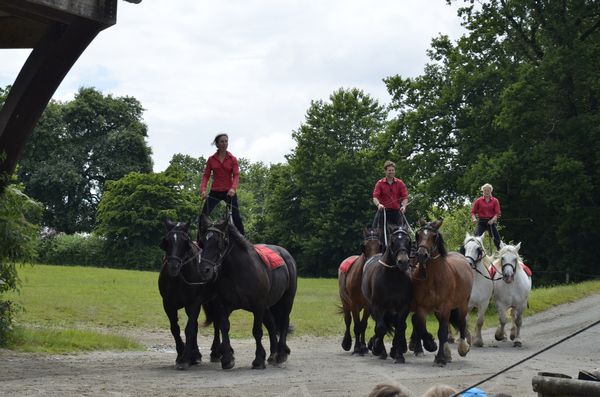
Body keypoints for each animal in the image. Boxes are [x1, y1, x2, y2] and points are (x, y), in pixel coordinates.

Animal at [159, 220, 220, 368]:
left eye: (184, 242)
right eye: (167, 241)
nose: (173, 266)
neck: (178, 279)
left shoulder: (194, 303)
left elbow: (189, 328)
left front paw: (185, 358)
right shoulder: (168, 304)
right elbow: (175, 329)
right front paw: (182, 355)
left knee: (217, 323)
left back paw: (215, 352)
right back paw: (196, 354)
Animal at [198, 213, 298, 368]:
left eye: (219, 242)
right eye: (202, 242)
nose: (205, 270)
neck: (238, 271)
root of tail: (285, 254)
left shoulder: (258, 306)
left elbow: (257, 331)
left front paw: (258, 359)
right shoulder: (222, 306)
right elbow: (224, 327)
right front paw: (227, 358)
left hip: (286, 300)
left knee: (284, 322)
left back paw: (281, 354)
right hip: (268, 306)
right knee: (271, 324)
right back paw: (273, 354)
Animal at [360, 223, 412, 362]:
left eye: (408, 240)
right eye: (393, 241)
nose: (403, 261)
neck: (393, 277)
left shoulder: (403, 307)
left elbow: (400, 327)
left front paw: (398, 355)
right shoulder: (377, 306)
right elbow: (381, 328)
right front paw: (377, 347)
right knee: (379, 326)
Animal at [412, 217, 474, 366]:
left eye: (434, 236)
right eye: (418, 235)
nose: (421, 255)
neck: (432, 278)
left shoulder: (445, 306)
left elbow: (442, 332)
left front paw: (440, 358)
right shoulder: (421, 307)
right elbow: (421, 327)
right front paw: (431, 345)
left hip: (463, 304)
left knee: (462, 322)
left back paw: (462, 347)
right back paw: (447, 353)